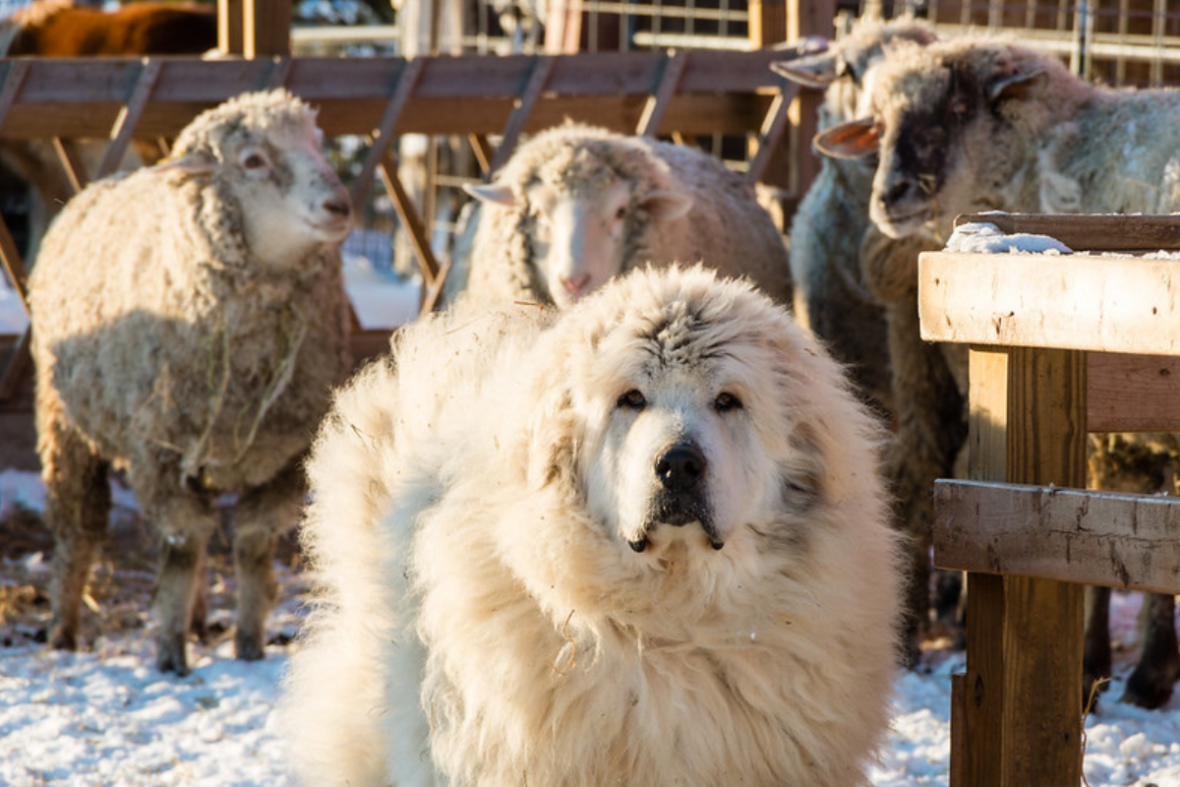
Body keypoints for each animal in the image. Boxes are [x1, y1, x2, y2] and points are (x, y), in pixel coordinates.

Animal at [28, 87, 353, 679]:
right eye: (252, 160)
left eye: (319, 144)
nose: (339, 205)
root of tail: (99, 184)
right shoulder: (158, 452)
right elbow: (182, 547)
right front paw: (170, 653)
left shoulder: (286, 455)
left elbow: (250, 545)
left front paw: (248, 645)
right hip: (64, 420)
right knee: (78, 525)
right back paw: (64, 627)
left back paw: (201, 621)